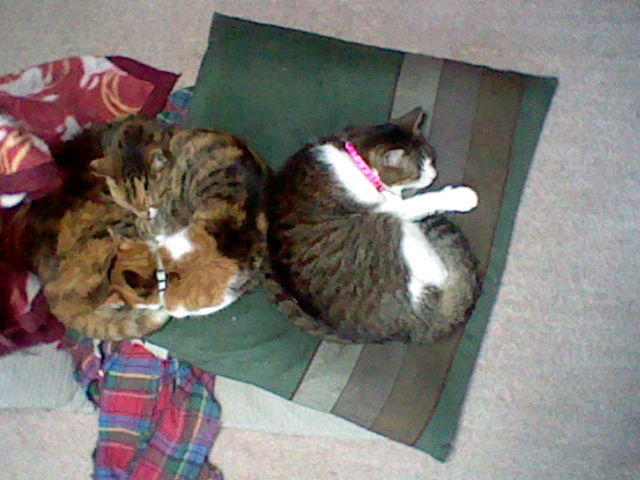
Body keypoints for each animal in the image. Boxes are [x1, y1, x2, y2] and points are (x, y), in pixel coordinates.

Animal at [265, 108, 481, 343]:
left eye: (431, 159)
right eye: (419, 170)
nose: (434, 174)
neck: (356, 161)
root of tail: (413, 325)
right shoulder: (390, 208)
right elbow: (421, 201)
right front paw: (461, 196)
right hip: (394, 229)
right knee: (441, 272)